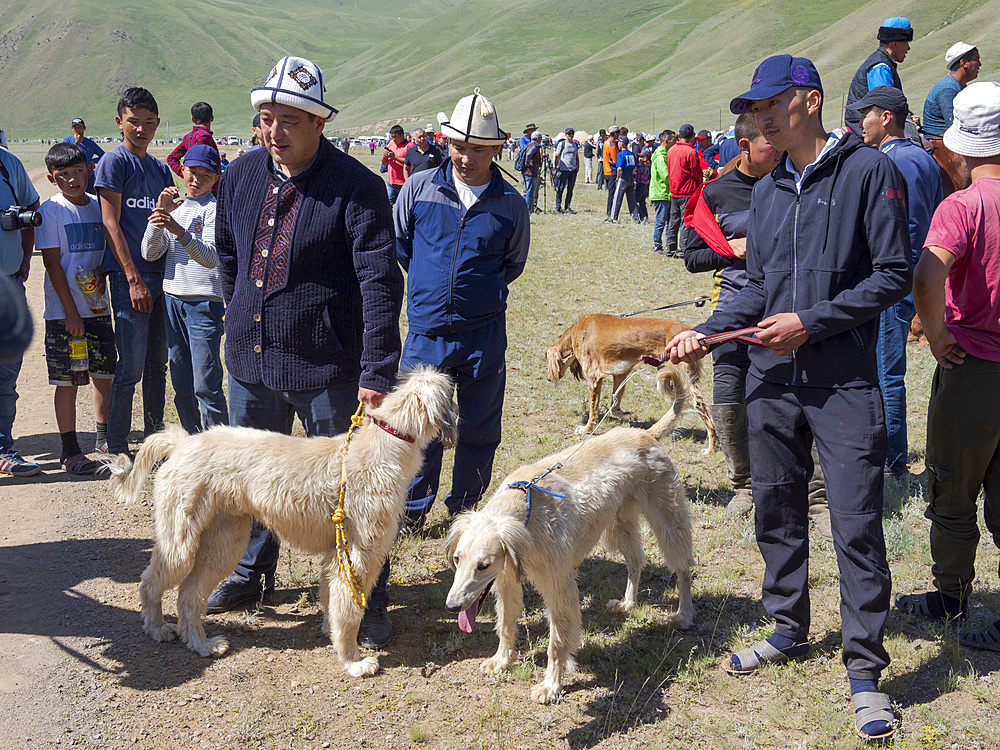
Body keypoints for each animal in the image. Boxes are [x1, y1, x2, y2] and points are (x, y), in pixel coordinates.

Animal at [106, 368, 458, 680]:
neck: (387, 441)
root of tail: (182, 443)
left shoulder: (335, 554)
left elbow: (332, 600)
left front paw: (331, 634)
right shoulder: (358, 557)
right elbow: (349, 610)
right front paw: (353, 661)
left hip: (223, 542)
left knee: (188, 596)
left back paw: (202, 645)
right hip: (181, 542)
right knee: (151, 582)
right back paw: (157, 628)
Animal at [446, 428, 696, 704]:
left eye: (483, 565)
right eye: (457, 559)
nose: (452, 607)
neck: (526, 510)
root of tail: (645, 433)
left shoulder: (559, 588)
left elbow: (556, 644)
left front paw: (551, 685)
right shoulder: (507, 582)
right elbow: (505, 625)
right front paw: (501, 660)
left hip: (668, 520)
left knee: (684, 570)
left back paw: (684, 613)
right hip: (620, 524)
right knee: (635, 562)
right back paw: (628, 603)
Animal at [544, 314, 716, 450]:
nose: (548, 379)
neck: (576, 332)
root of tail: (691, 333)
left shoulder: (594, 378)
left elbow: (593, 411)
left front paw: (587, 428)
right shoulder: (621, 373)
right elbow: (614, 406)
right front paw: (628, 415)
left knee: (703, 411)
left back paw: (710, 449)